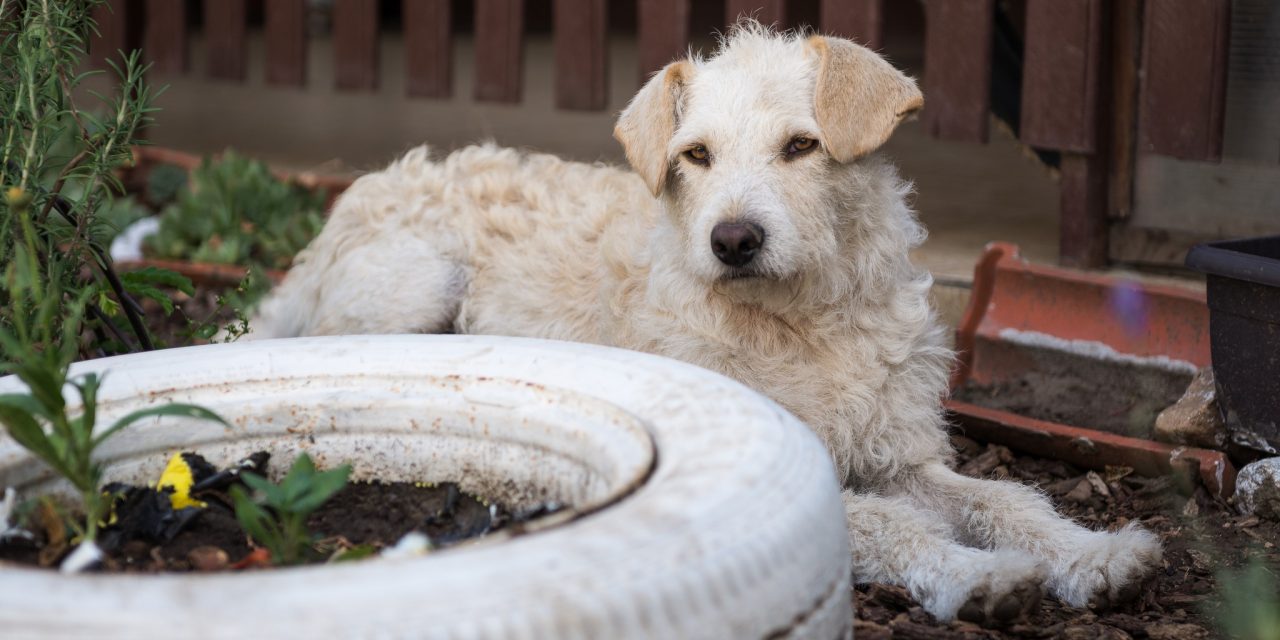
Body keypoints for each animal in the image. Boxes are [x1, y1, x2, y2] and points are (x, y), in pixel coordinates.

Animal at [249, 21, 1162, 624]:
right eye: (695, 155)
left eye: (801, 146)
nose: (733, 240)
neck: (802, 321)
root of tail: (348, 204)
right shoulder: (801, 460)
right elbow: (888, 523)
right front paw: (974, 577)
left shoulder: (902, 456)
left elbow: (1005, 496)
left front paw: (1094, 555)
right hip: (415, 287)